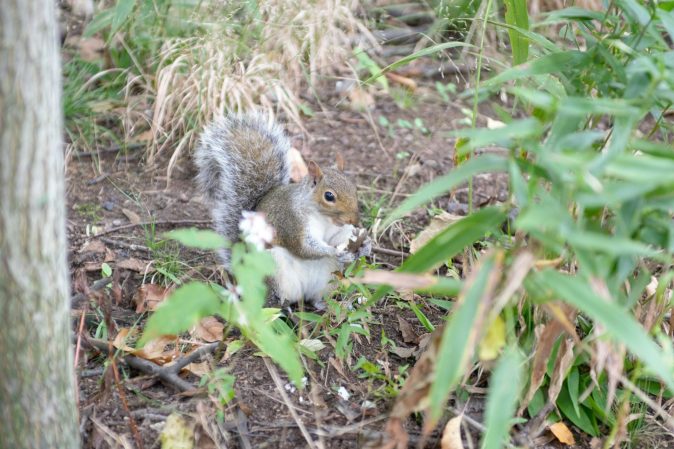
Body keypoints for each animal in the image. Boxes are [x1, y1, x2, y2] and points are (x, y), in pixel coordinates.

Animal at [194, 114, 370, 306]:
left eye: (354, 188)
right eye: (329, 196)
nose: (354, 220)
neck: (324, 218)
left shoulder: (336, 230)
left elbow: (338, 238)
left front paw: (365, 246)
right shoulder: (290, 220)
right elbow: (304, 247)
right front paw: (335, 251)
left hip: (328, 279)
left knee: (316, 298)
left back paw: (325, 304)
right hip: (273, 268)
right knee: (276, 299)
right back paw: (283, 308)